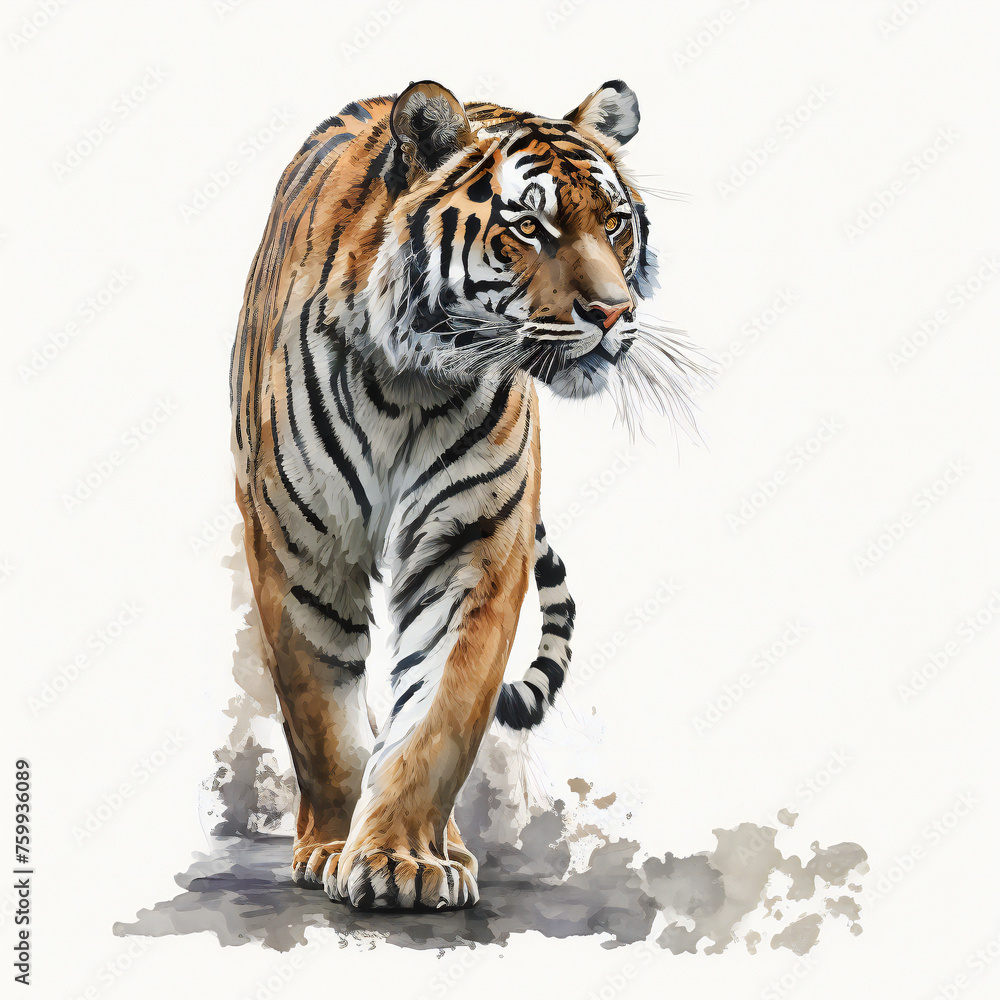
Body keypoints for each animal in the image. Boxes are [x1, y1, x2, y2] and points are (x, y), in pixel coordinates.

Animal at [230, 79, 703, 911]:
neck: (409, 380)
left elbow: (440, 708)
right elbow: (320, 708)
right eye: (529, 226)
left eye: (613, 222)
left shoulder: (474, 542)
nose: (614, 314)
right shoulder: (300, 541)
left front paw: (400, 857)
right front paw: (335, 846)